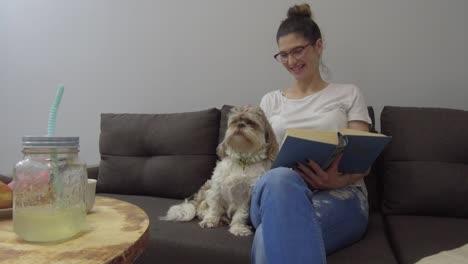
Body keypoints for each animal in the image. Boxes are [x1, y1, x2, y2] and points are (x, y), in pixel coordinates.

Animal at [161, 106, 278, 236]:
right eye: (234, 121)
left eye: (251, 122)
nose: (240, 124)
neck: (242, 161)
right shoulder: (217, 188)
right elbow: (214, 207)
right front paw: (210, 221)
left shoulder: (246, 197)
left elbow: (240, 215)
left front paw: (238, 228)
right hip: (206, 193)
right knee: (202, 210)